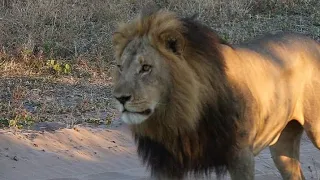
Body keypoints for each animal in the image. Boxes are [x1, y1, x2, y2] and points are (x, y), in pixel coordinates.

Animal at [111, 8, 320, 180]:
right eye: (120, 67)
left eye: (146, 68)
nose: (120, 98)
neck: (181, 116)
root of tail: (313, 41)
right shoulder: (166, 163)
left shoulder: (240, 155)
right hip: (282, 146)